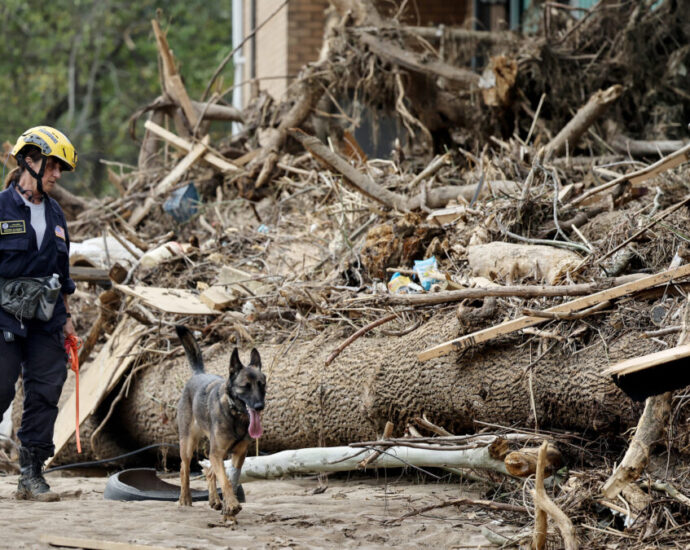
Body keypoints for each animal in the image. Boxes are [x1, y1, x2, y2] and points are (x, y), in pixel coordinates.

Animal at [175, 328, 266, 520]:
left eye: (262, 384)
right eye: (245, 386)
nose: (259, 406)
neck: (235, 415)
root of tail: (198, 374)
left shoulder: (237, 454)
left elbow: (231, 479)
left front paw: (228, 505)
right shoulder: (216, 453)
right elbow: (225, 480)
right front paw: (231, 505)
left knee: (210, 471)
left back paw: (214, 500)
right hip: (188, 444)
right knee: (184, 468)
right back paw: (185, 499)